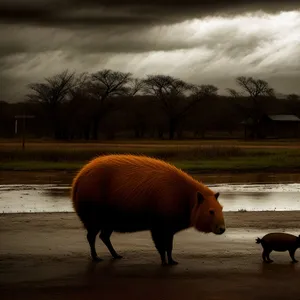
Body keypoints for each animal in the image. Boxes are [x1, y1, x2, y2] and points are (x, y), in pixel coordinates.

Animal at [71, 155, 225, 264]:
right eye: (211, 211)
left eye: (221, 208)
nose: (222, 229)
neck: (187, 199)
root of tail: (77, 180)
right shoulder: (158, 226)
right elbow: (161, 246)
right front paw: (164, 262)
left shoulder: (169, 228)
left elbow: (169, 246)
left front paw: (172, 261)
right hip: (93, 218)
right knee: (91, 237)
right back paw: (96, 257)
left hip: (108, 221)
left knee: (104, 236)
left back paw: (116, 255)